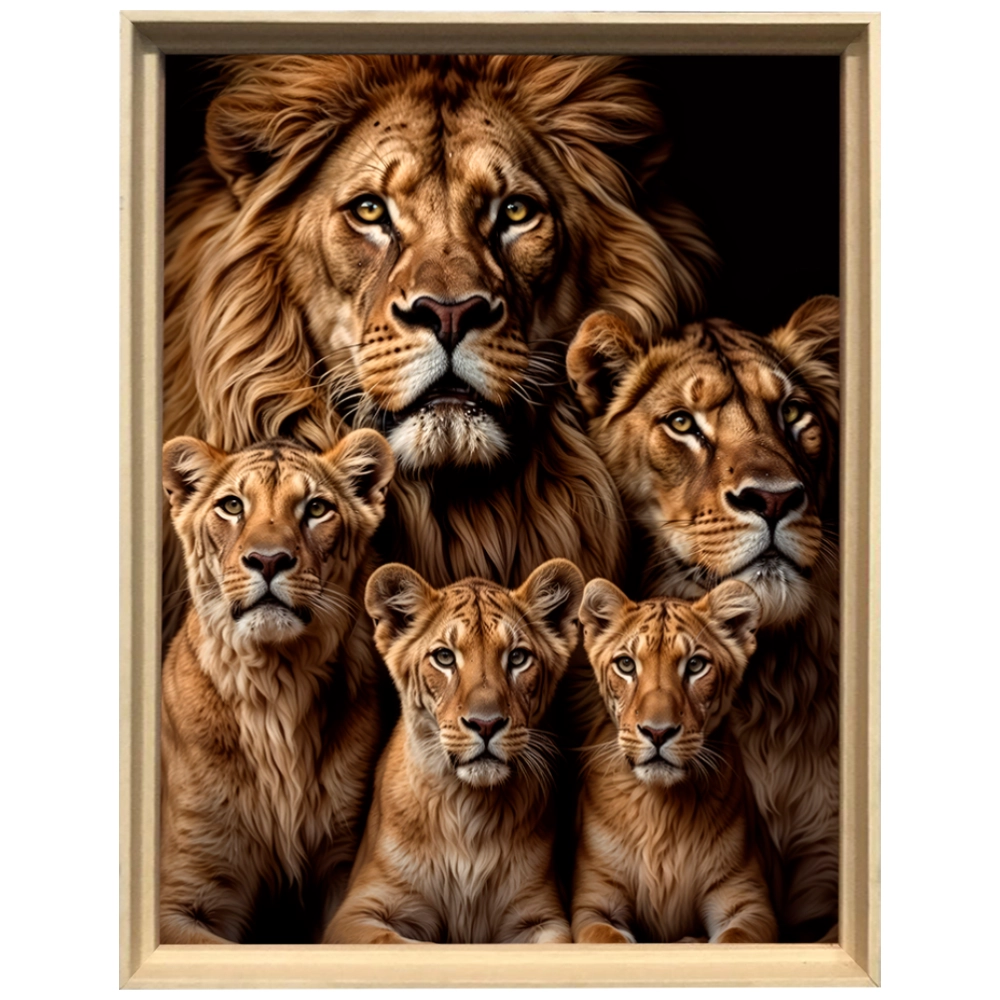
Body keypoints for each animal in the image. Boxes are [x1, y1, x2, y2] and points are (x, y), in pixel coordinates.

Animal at [159, 430, 395, 944]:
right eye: (231, 505)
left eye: (316, 508)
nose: (268, 560)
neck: (276, 684)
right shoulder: (181, 895)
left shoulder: (342, 863)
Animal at [323, 559, 584, 944]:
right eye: (444, 657)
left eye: (518, 658)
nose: (486, 724)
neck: (468, 807)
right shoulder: (356, 912)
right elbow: (398, 943)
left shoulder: (542, 916)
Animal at [574, 578, 777, 945]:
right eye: (626, 665)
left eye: (695, 666)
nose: (657, 732)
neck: (662, 810)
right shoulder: (595, 904)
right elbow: (607, 939)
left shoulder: (746, 902)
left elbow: (734, 941)